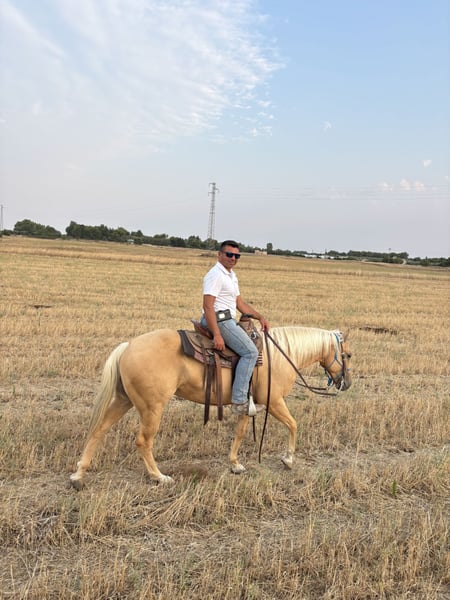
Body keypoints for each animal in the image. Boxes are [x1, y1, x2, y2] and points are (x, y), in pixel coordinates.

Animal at [70, 326, 352, 488]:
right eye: (348, 355)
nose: (346, 383)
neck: (280, 356)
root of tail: (128, 346)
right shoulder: (274, 402)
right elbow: (293, 424)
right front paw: (289, 459)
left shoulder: (247, 404)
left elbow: (239, 433)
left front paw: (235, 464)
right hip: (152, 408)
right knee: (143, 441)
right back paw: (159, 477)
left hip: (124, 399)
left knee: (99, 430)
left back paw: (79, 475)